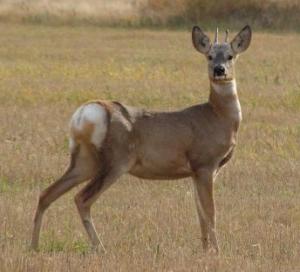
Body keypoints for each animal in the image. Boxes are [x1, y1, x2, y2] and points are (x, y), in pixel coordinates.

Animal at [31, 25, 252, 253]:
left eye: (230, 56)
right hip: (117, 160)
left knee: (46, 193)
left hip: (85, 160)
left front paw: (205, 249)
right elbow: (210, 212)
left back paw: (34, 246)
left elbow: (200, 211)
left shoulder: (196, 172)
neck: (219, 117)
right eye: (209, 56)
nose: (219, 70)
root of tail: (85, 114)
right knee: (81, 198)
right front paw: (217, 251)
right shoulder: (205, 163)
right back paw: (101, 247)